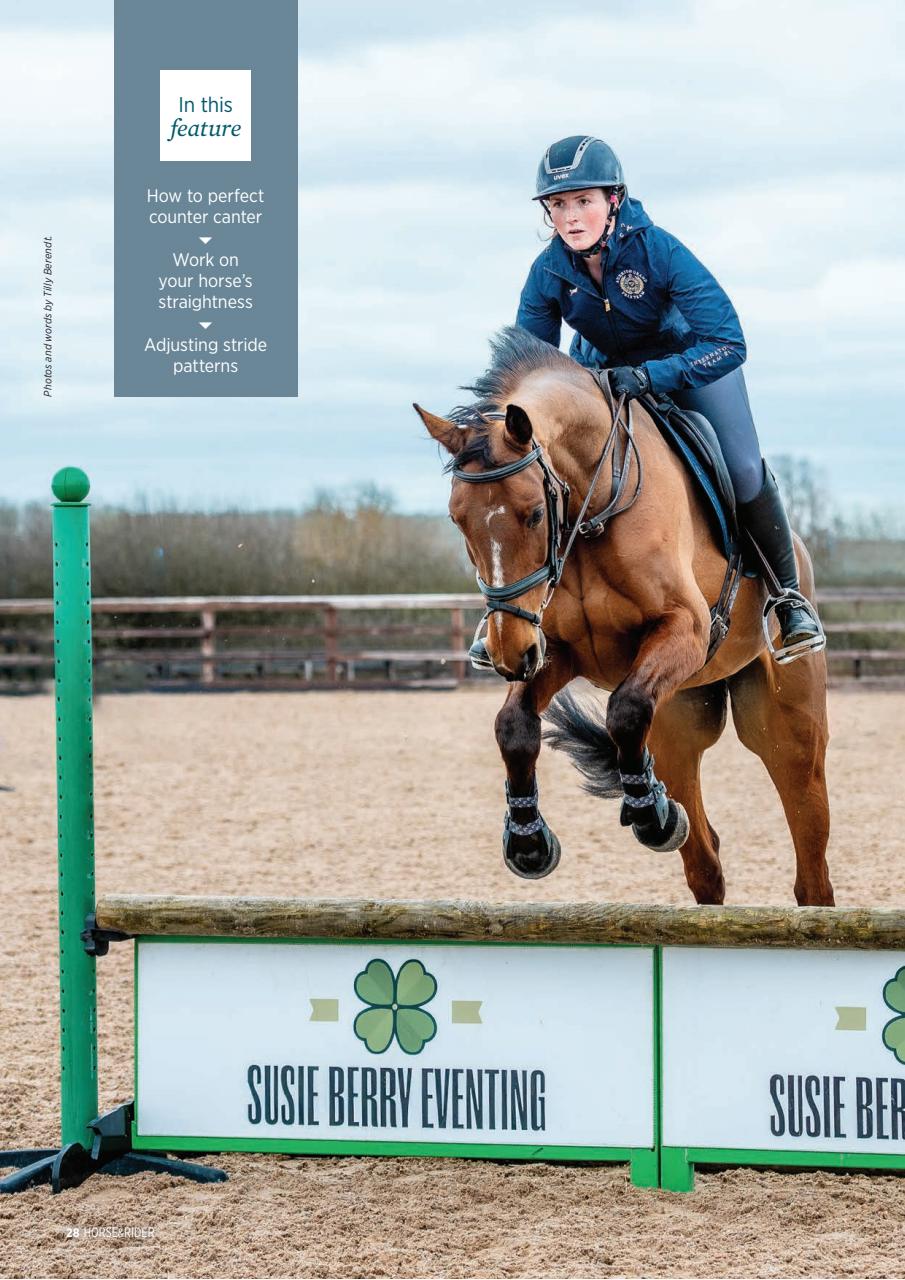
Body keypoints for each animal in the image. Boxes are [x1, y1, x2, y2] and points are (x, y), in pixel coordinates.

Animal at [414, 327, 833, 906]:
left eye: (535, 514)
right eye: (457, 520)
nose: (507, 653)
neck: (595, 502)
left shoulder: (685, 630)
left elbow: (627, 707)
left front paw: (650, 817)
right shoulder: (559, 651)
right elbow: (514, 726)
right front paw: (529, 841)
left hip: (788, 731)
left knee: (810, 860)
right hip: (678, 726)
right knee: (705, 860)